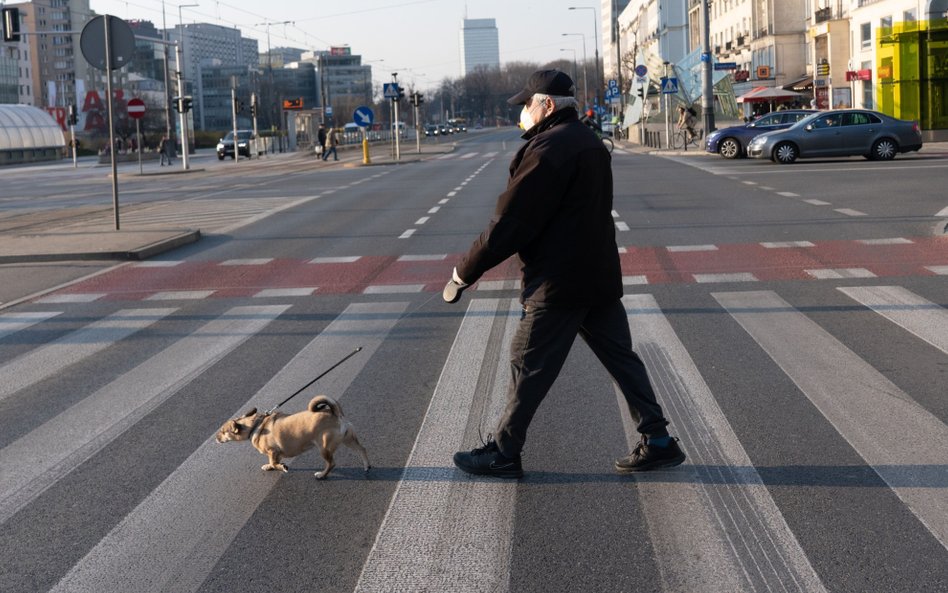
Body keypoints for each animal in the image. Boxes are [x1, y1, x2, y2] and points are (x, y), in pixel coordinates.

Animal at [216, 396, 370, 478]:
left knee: (331, 463)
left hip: (324, 447)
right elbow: (272, 462)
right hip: (348, 439)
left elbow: (274, 462)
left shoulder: (273, 451)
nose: (215, 438)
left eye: (223, 431)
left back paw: (321, 475)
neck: (254, 424)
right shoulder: (275, 454)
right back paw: (366, 466)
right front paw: (270, 466)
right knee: (361, 449)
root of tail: (335, 413)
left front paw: (281, 467)